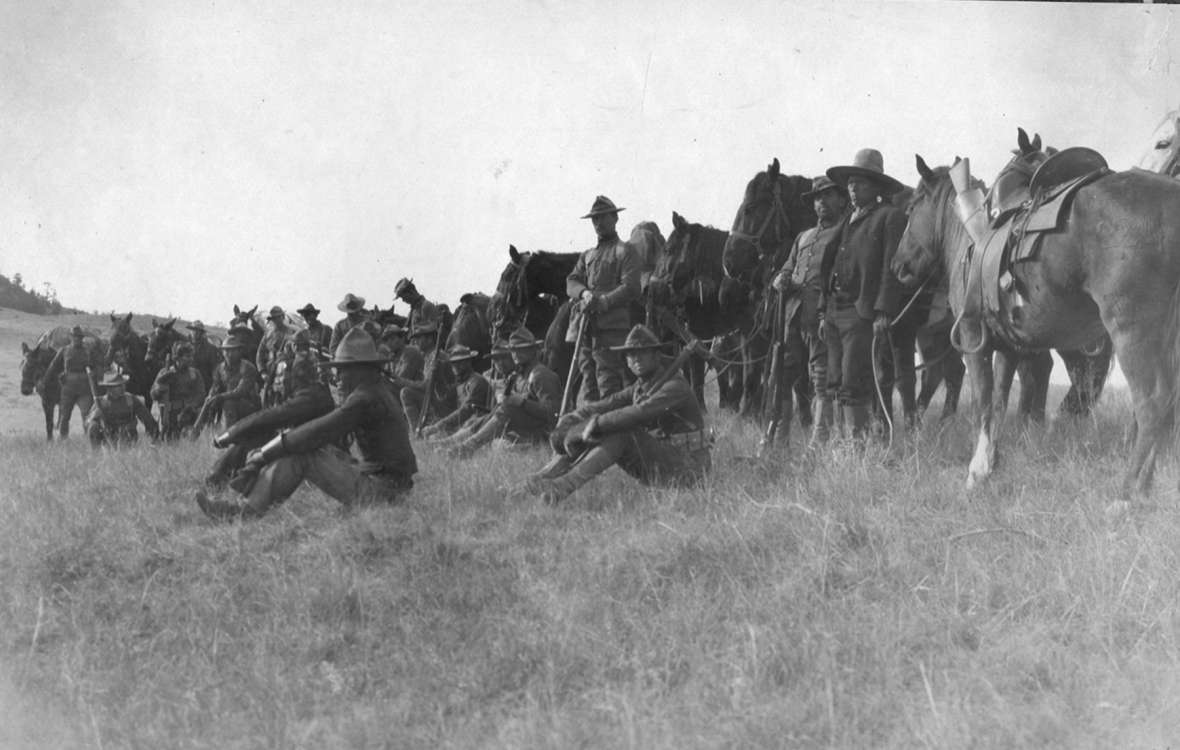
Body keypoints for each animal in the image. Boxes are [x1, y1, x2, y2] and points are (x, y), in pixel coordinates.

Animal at [892, 133, 1180, 497]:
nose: (898, 266)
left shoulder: (973, 338)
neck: (971, 235)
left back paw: (1130, 492)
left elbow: (983, 400)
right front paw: (991, 464)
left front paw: (976, 472)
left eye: (912, 207)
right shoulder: (1009, 347)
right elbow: (1000, 402)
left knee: (1152, 404)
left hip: (1134, 332)